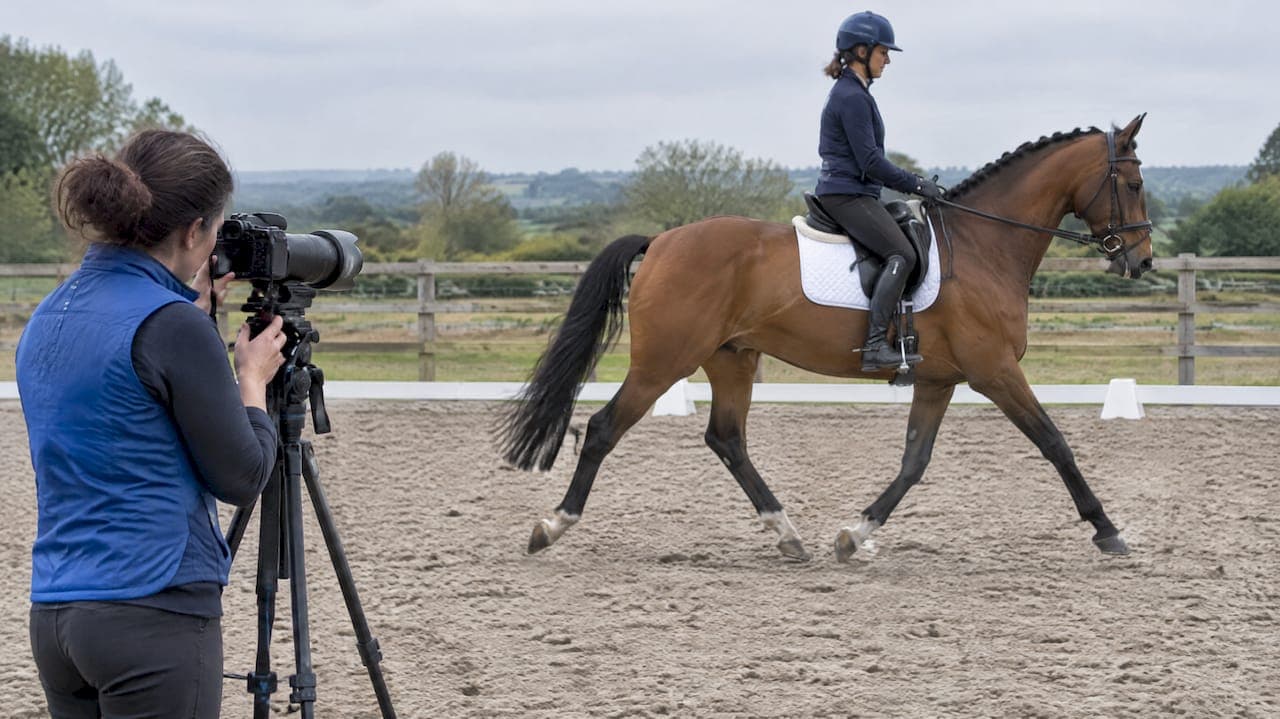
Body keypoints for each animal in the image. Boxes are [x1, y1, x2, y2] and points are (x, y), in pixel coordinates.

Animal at [499, 114, 1154, 563]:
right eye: (1132, 183)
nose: (1141, 260)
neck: (984, 246)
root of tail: (660, 241)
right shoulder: (994, 370)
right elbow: (1055, 443)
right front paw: (1109, 531)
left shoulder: (938, 378)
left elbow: (914, 462)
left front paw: (853, 535)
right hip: (666, 360)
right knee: (604, 428)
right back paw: (551, 527)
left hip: (732, 357)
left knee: (727, 438)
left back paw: (789, 536)